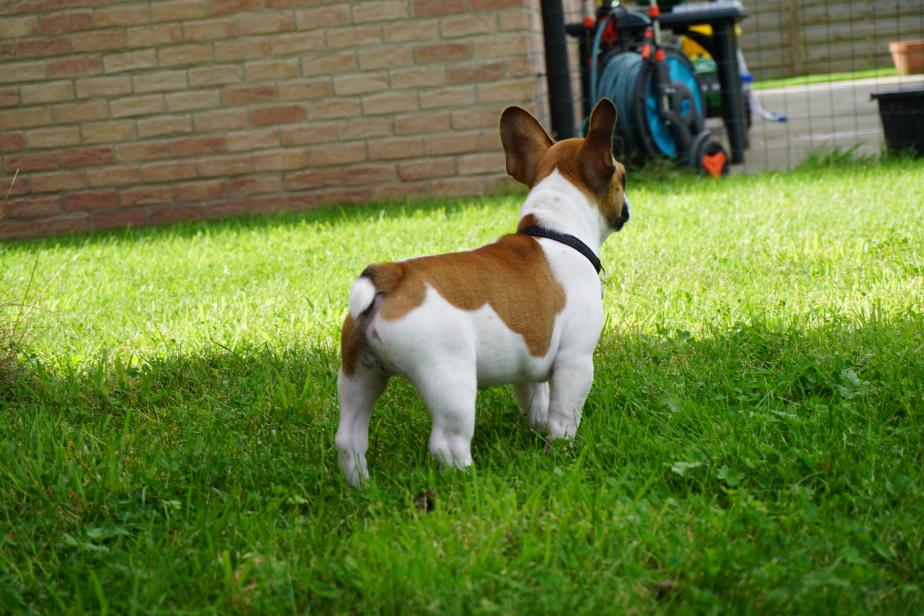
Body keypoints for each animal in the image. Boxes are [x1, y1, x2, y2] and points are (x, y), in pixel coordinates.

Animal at [336, 100, 632, 486]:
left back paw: (361, 487)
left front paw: (536, 435)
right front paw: (560, 454)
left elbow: (536, 403)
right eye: (622, 178)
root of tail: (392, 276)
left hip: (359, 373)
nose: (627, 206)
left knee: (350, 437)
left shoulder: (527, 368)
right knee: (447, 442)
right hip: (449, 377)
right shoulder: (576, 361)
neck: (555, 230)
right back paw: (470, 481)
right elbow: (563, 417)